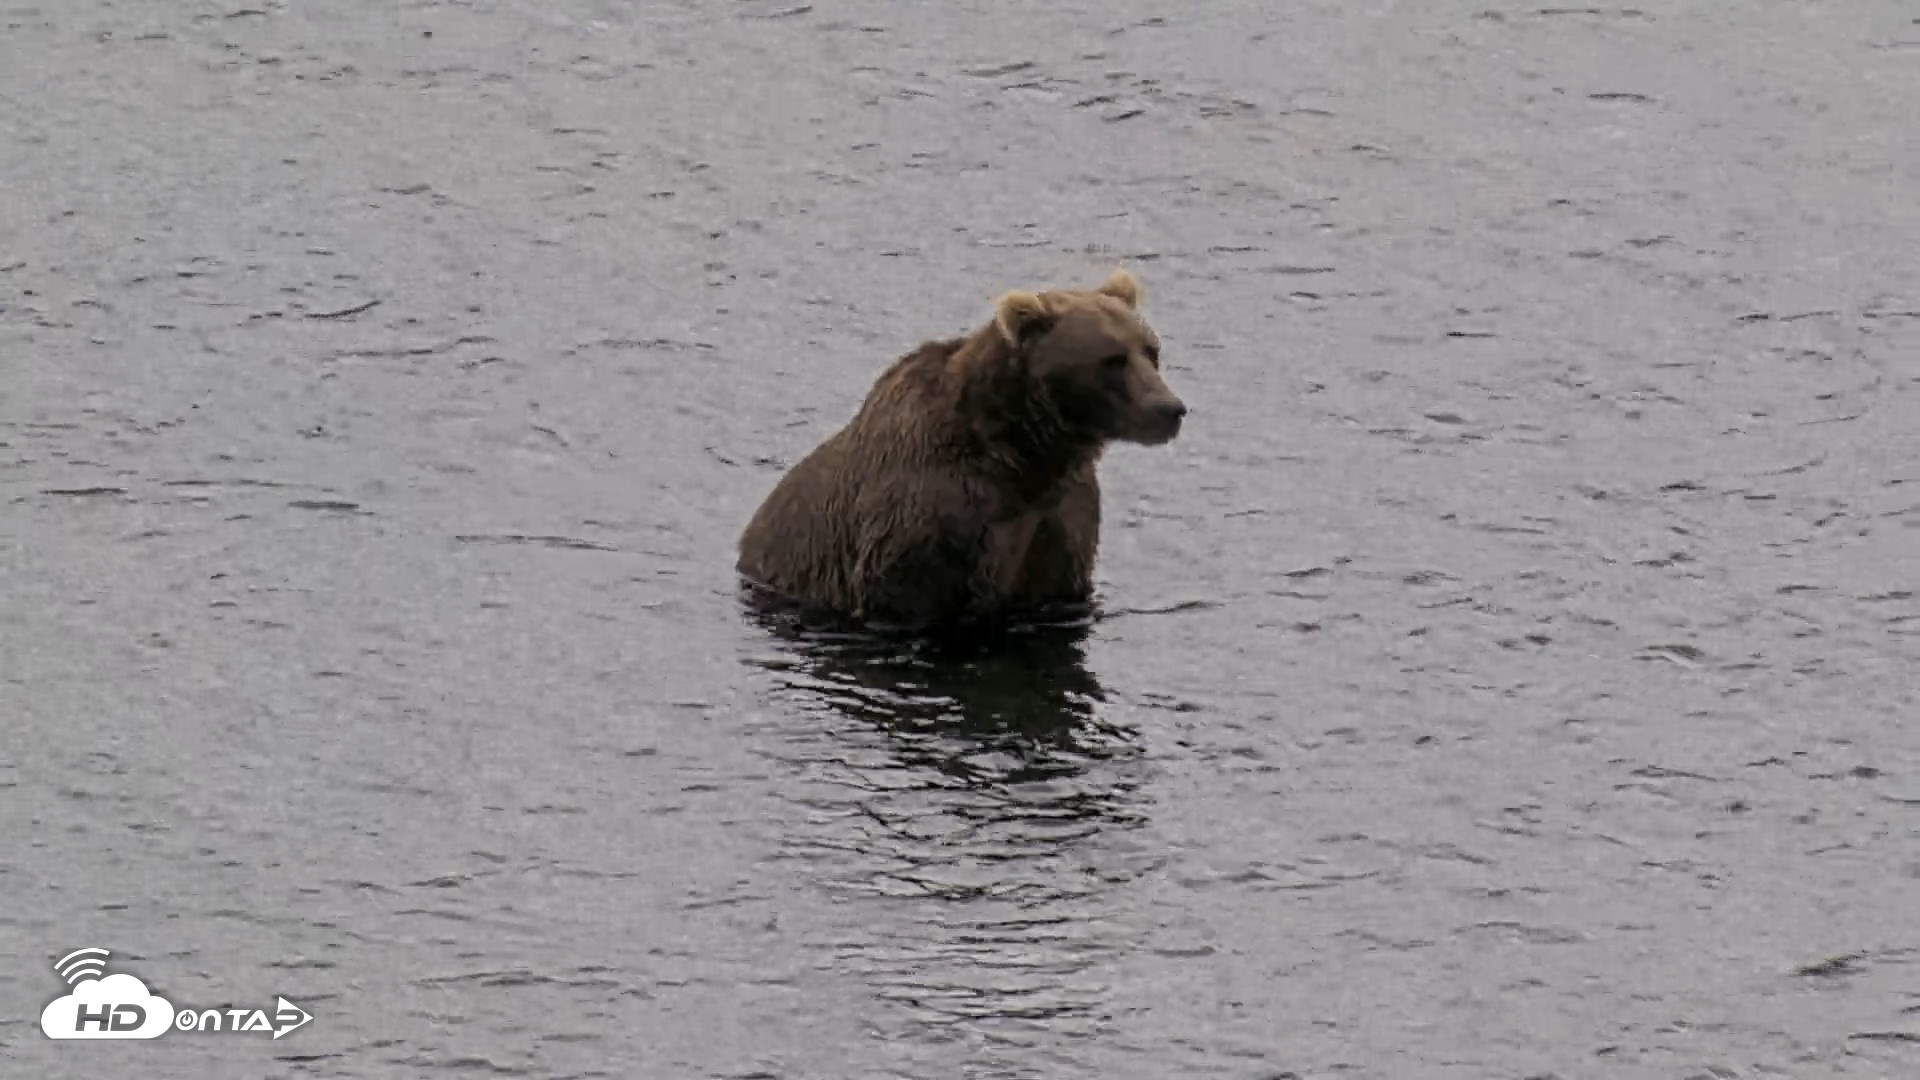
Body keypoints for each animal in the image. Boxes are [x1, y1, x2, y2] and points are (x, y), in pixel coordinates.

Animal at [736, 268, 1186, 628]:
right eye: (1112, 360)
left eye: (1151, 350)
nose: (1170, 409)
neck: (1023, 457)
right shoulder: (926, 518)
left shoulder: (1060, 518)